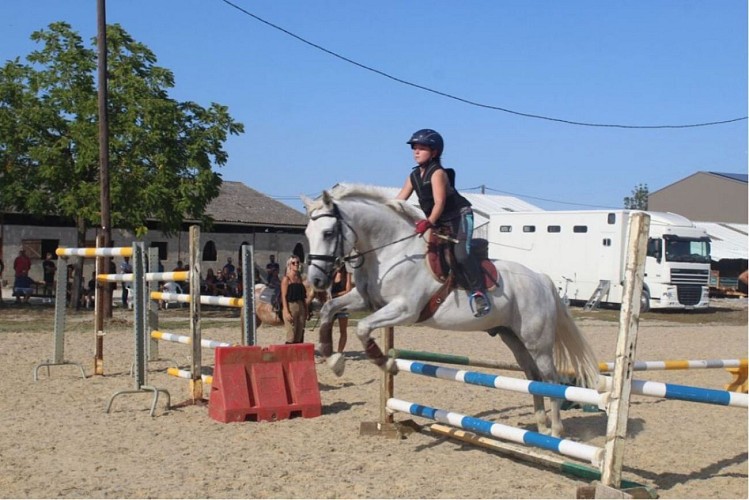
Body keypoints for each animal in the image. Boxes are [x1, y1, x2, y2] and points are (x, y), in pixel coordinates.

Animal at [300, 185, 600, 438]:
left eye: (328, 233)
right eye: (306, 235)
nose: (316, 281)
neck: (392, 251)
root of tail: (541, 278)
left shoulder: (404, 309)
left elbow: (363, 329)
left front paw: (386, 362)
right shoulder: (366, 301)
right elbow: (329, 309)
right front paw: (332, 358)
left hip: (537, 341)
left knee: (551, 380)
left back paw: (556, 431)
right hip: (513, 338)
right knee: (533, 378)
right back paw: (540, 427)